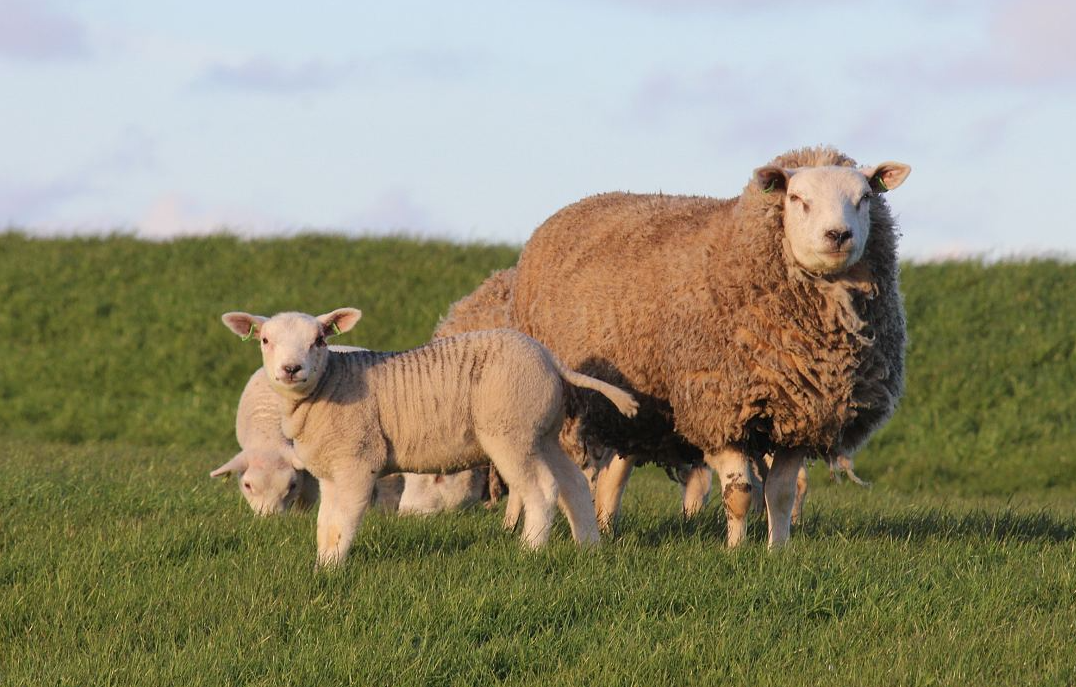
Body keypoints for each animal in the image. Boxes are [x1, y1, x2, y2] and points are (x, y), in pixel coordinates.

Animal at [219, 310, 636, 568]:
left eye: (320, 340)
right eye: (265, 340)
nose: (291, 369)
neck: (329, 385)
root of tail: (550, 358)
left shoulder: (358, 460)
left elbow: (346, 518)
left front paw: (335, 569)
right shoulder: (331, 471)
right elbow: (326, 522)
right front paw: (324, 564)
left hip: (511, 430)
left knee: (541, 488)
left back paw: (530, 551)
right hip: (542, 431)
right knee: (573, 484)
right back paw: (589, 547)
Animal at [510, 145, 908, 549]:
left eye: (864, 198)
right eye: (797, 198)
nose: (838, 235)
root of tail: (577, 205)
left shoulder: (802, 414)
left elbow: (782, 493)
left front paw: (777, 550)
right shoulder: (716, 404)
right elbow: (740, 493)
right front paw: (735, 549)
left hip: (637, 410)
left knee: (615, 474)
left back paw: (605, 525)